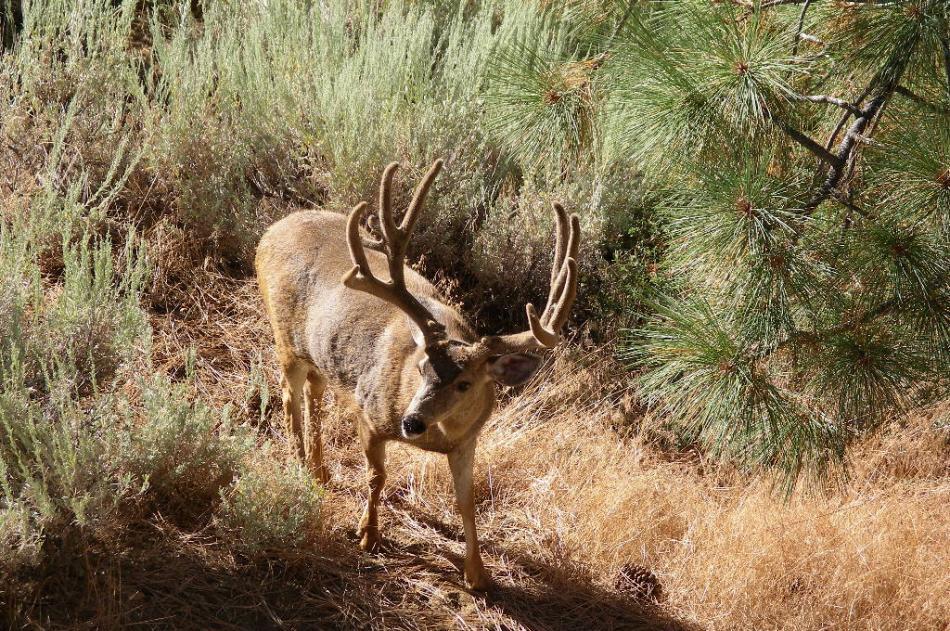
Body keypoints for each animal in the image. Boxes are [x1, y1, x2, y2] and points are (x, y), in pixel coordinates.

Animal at [254, 159, 579, 590]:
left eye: (465, 384)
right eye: (423, 367)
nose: (411, 422)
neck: (438, 436)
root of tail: (270, 232)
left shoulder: (468, 441)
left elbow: (466, 502)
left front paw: (477, 574)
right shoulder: (369, 415)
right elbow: (377, 476)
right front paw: (368, 536)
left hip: (318, 352)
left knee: (314, 391)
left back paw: (320, 471)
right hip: (284, 338)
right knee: (289, 394)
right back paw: (300, 467)